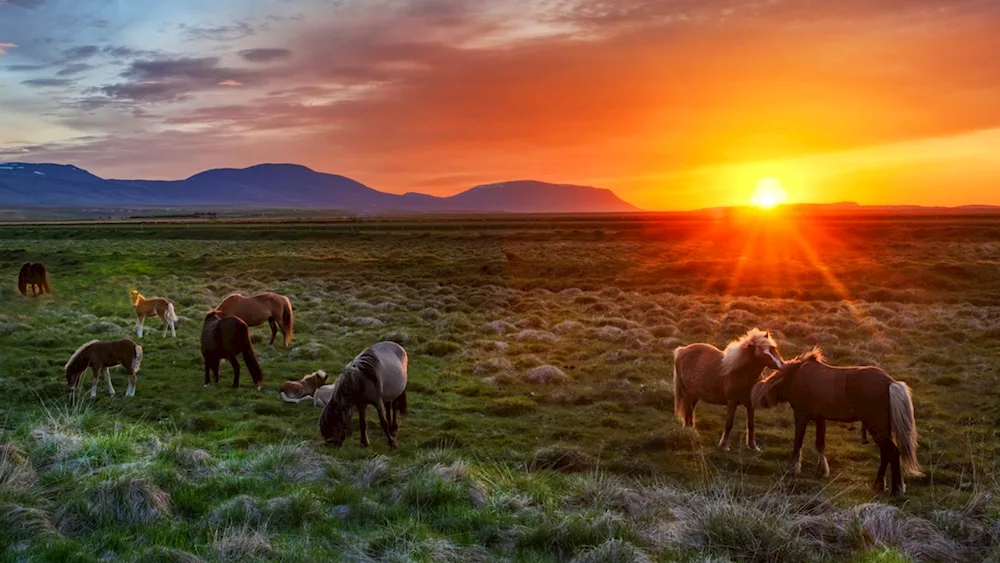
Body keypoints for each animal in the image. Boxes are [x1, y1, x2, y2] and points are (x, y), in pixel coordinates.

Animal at [752, 348, 920, 498]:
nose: (761, 399)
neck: (796, 376)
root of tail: (890, 383)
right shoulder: (820, 418)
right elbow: (820, 445)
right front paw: (822, 470)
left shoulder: (801, 415)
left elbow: (797, 443)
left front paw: (793, 468)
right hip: (883, 428)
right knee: (887, 453)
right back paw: (880, 485)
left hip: (876, 427)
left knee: (892, 452)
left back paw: (896, 489)